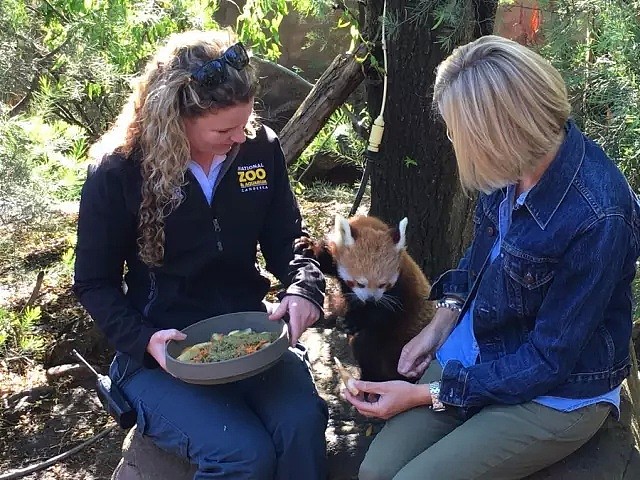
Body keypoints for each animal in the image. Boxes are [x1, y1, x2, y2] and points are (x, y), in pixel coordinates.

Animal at [296, 214, 436, 382]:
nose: (370, 299)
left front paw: (353, 320)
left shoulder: (400, 290)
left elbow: (381, 313)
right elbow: (325, 259)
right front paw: (308, 247)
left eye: (383, 284)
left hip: (401, 340)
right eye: (360, 283)